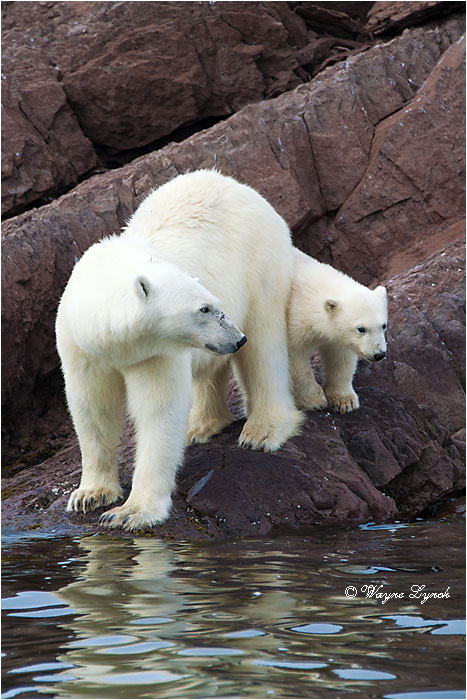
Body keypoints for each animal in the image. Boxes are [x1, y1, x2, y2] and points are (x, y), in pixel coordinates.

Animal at [56, 169, 303, 531]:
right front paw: (90, 495)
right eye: (205, 309)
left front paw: (132, 512)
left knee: (264, 345)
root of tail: (237, 185)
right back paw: (200, 426)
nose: (235, 337)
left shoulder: (155, 352)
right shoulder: (81, 348)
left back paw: (262, 430)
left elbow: (159, 410)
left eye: (215, 304)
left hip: (260, 264)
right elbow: (92, 408)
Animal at [287, 247, 388, 413]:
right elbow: (295, 359)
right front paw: (314, 400)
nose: (379, 354)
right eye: (361, 329)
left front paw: (344, 401)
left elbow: (340, 358)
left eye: (383, 325)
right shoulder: (292, 322)